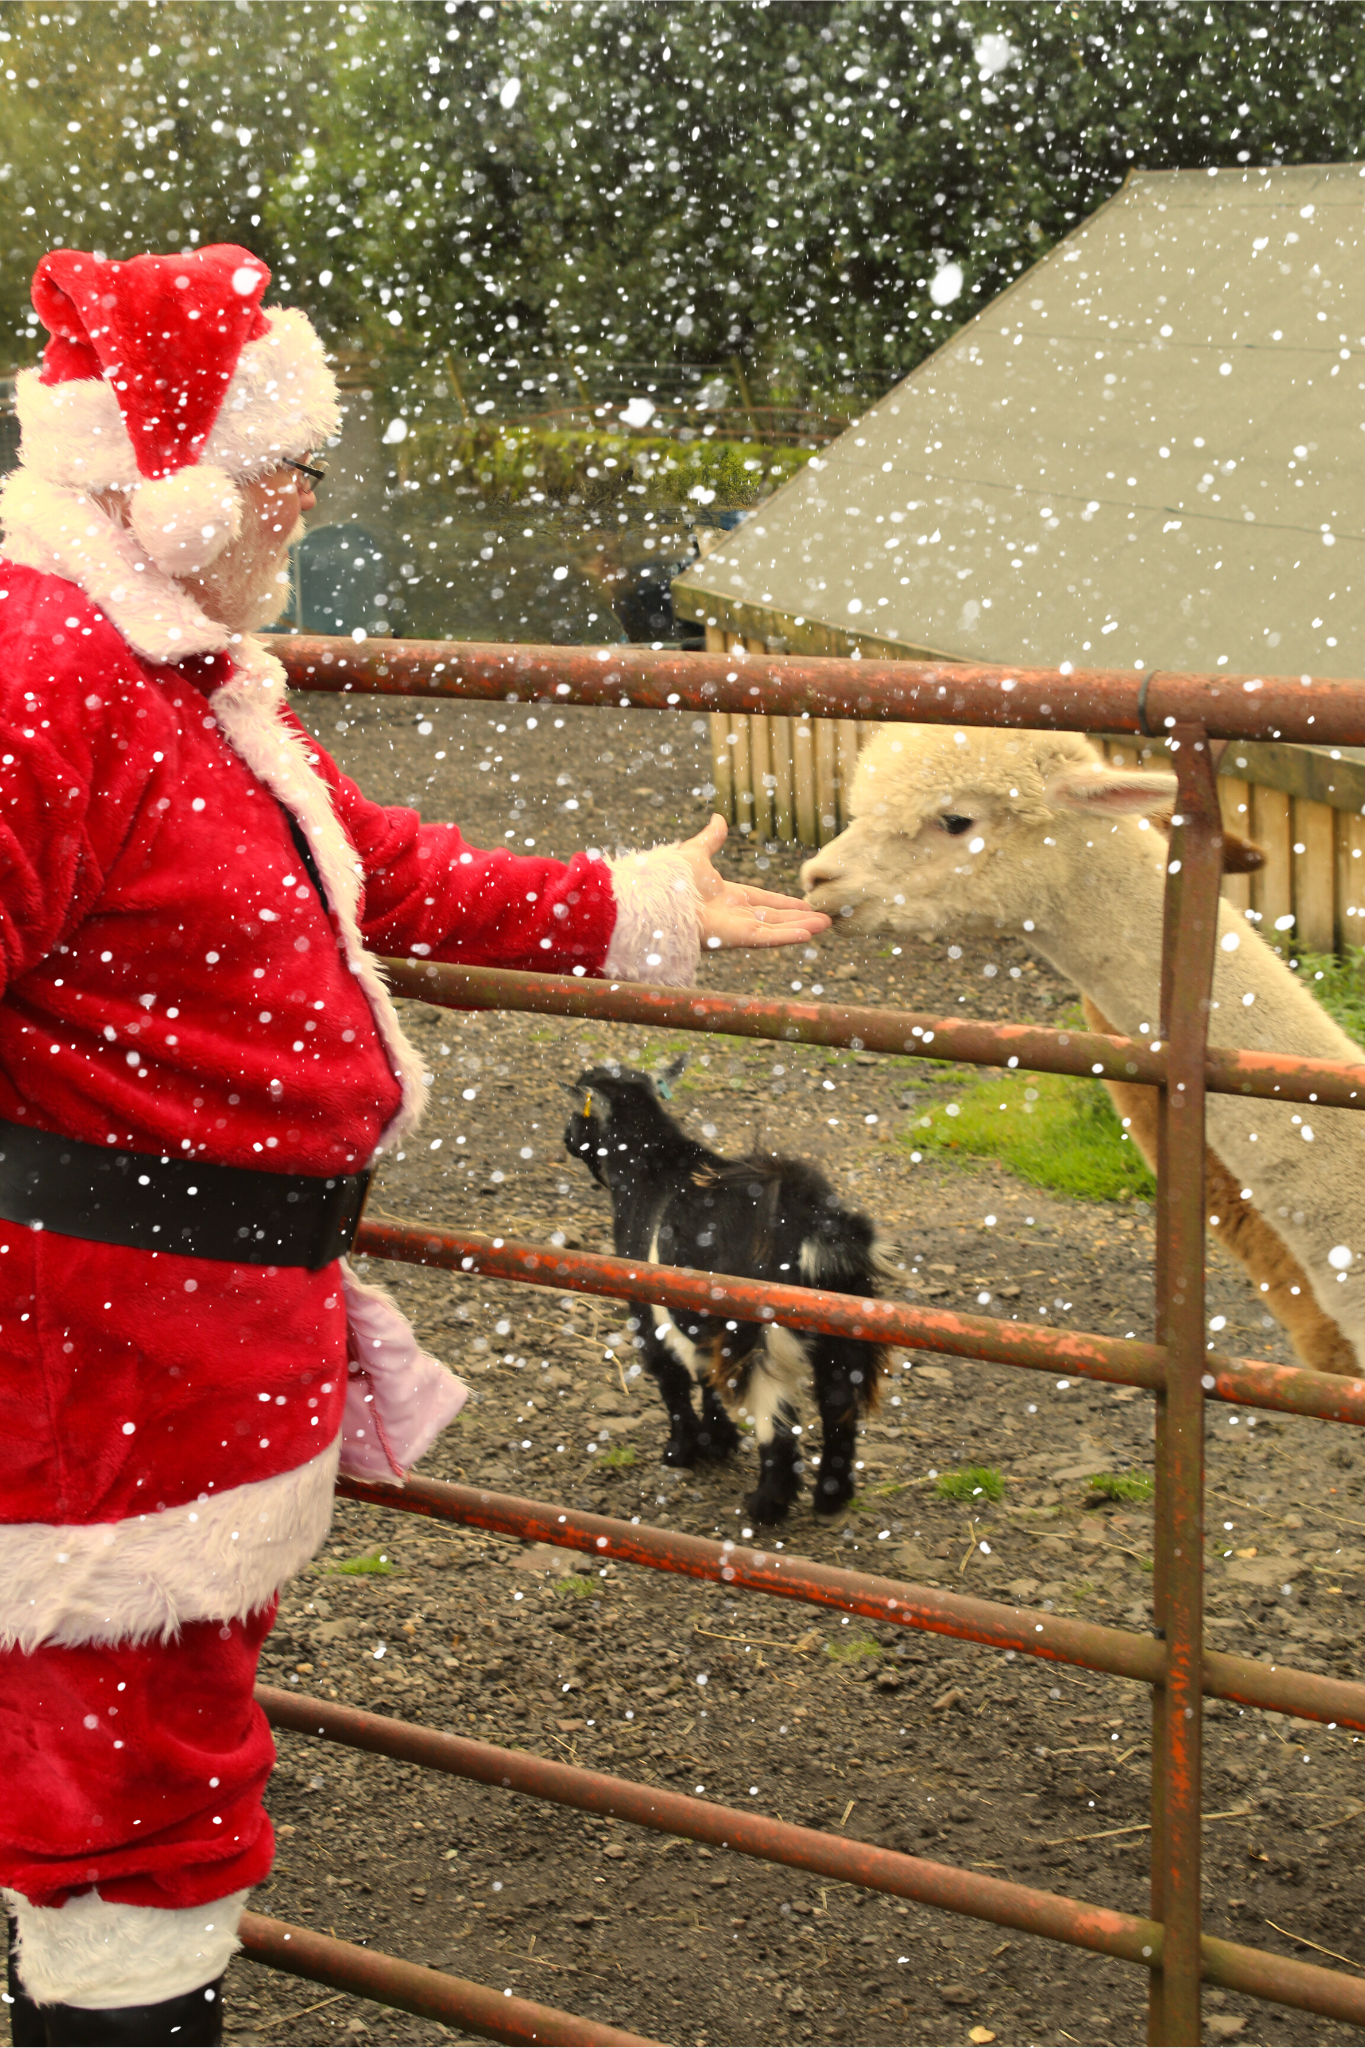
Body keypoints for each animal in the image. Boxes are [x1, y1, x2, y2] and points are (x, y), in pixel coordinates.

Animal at [560, 1073, 892, 1523]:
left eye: (575, 1115)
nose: (565, 1138)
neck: (652, 1169)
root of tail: (812, 1227)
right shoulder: (701, 1325)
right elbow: (707, 1378)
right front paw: (718, 1443)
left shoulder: (648, 1310)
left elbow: (672, 1380)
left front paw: (681, 1452)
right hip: (845, 1331)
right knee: (839, 1407)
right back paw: (831, 1498)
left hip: (759, 1337)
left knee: (777, 1418)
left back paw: (766, 1506)